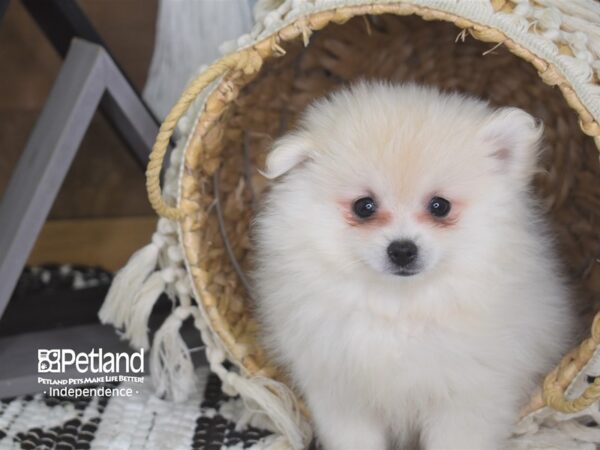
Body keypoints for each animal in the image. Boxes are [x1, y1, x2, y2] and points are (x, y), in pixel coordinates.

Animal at [251, 82, 576, 448]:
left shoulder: (468, 398)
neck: (399, 306)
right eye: (364, 206)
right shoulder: (340, 392)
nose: (402, 250)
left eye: (440, 206)